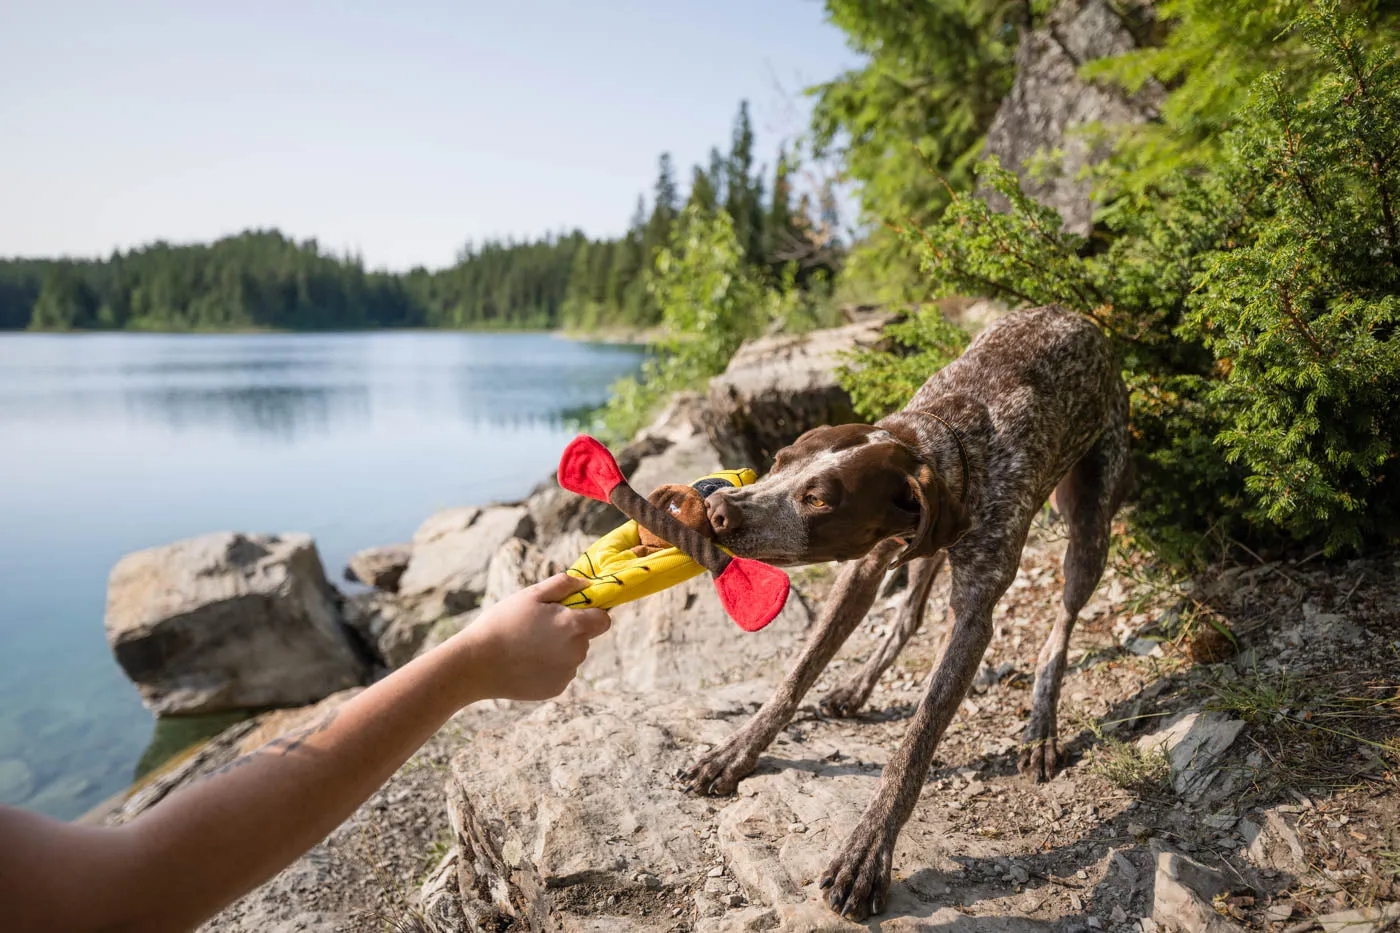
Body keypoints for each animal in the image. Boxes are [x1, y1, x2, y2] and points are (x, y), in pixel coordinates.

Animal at [683, 303, 1131, 913]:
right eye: (777, 461)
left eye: (818, 499)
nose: (718, 509)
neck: (949, 445)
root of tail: (1078, 316)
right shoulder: (865, 567)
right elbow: (797, 674)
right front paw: (737, 750)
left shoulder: (973, 617)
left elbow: (915, 744)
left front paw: (870, 850)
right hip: (922, 553)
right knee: (910, 615)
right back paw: (859, 687)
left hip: (1089, 524)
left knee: (1061, 624)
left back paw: (1042, 726)